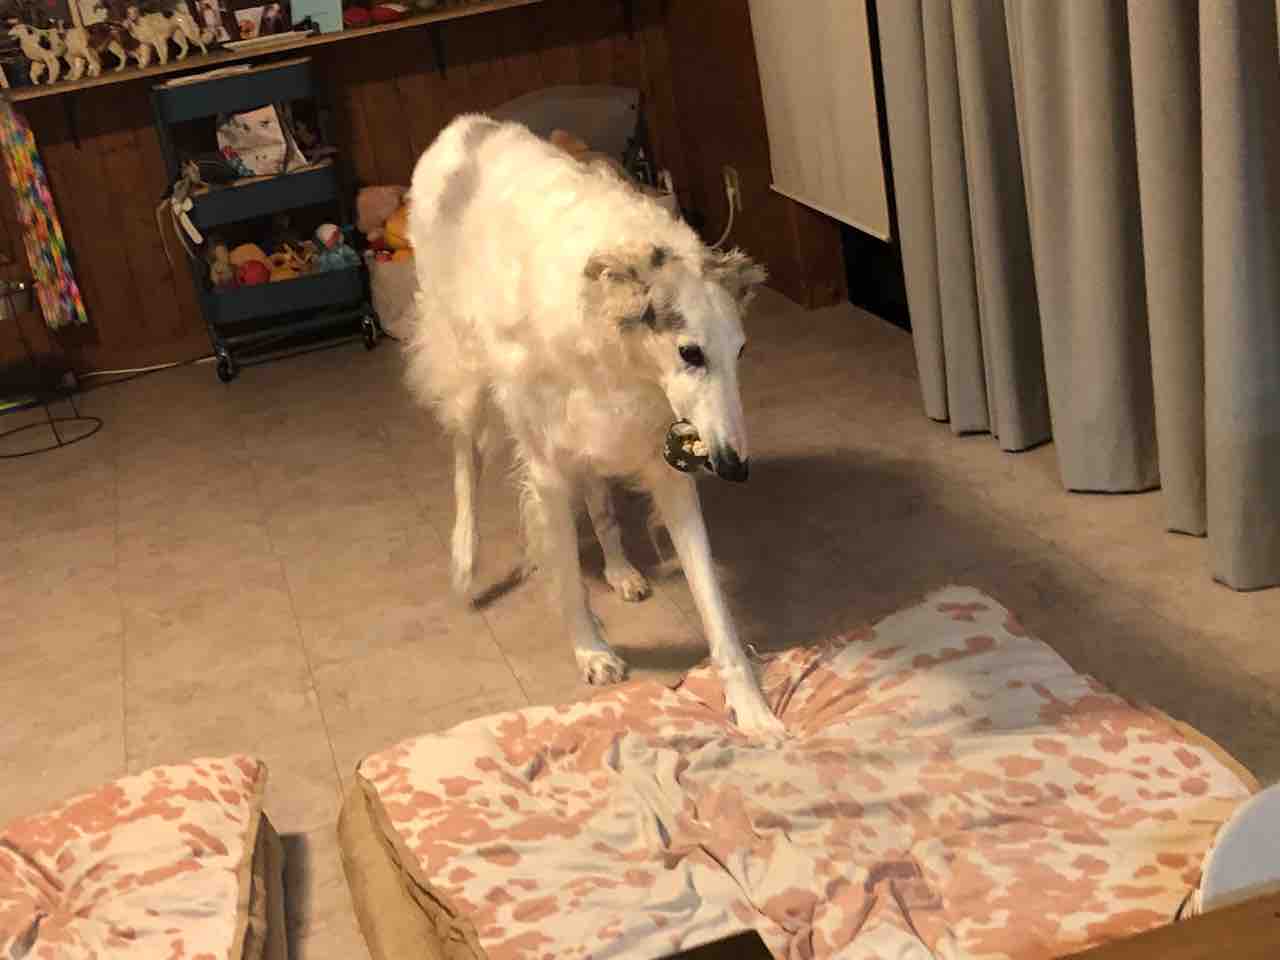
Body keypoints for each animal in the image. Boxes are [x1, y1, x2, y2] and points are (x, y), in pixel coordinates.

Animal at [405, 115, 783, 737]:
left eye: (742, 351)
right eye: (690, 352)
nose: (735, 468)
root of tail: (464, 126)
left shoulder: (662, 459)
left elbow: (714, 606)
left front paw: (752, 709)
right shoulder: (547, 470)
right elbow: (565, 576)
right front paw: (593, 653)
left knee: (600, 500)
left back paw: (622, 569)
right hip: (465, 376)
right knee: (466, 458)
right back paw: (465, 559)